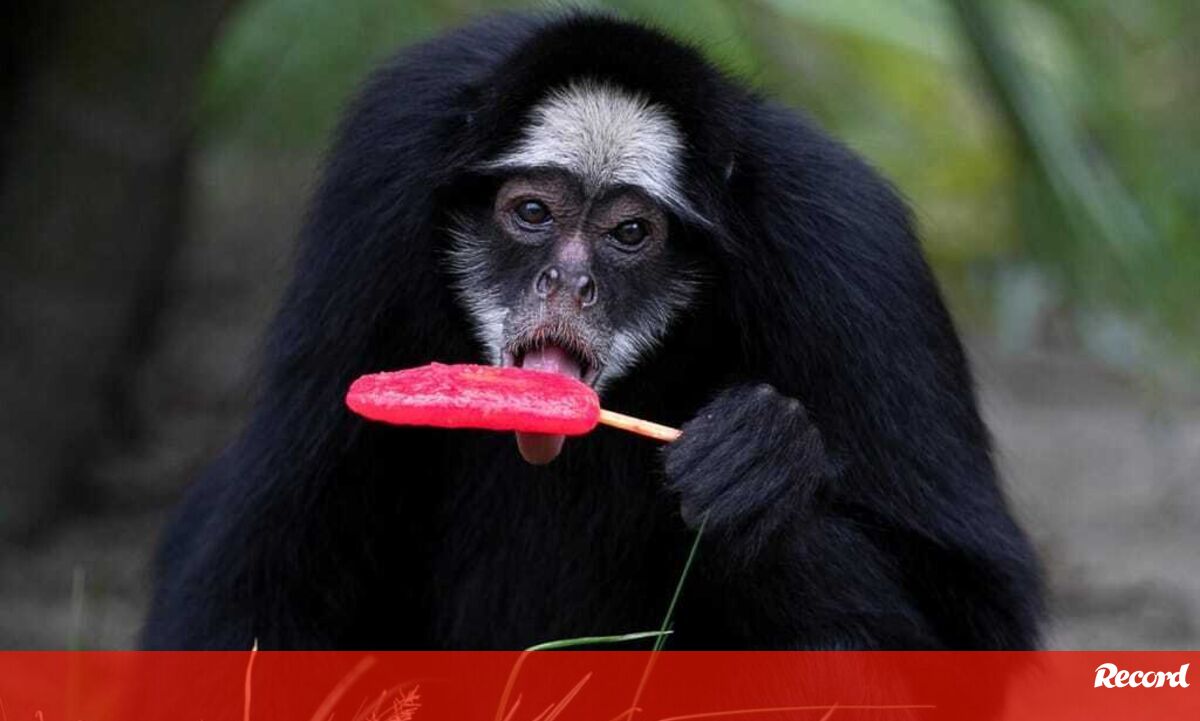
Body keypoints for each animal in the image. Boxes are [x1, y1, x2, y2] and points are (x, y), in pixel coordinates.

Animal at [143, 11, 1042, 651]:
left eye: (630, 233)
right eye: (534, 214)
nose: (569, 283)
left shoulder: (845, 242)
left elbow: (981, 610)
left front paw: (764, 462)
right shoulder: (387, 160)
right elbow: (265, 554)